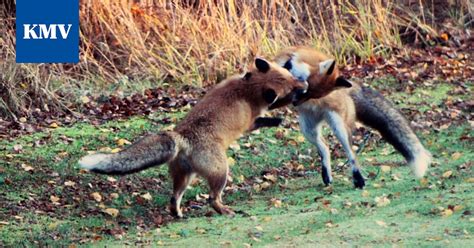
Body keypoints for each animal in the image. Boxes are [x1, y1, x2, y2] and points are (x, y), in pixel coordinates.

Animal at [272, 46, 432, 189]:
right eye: (306, 91)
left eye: (310, 94)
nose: (294, 102)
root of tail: (348, 89)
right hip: (308, 130)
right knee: (325, 147)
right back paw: (327, 175)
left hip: (339, 128)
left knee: (351, 153)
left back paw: (358, 179)